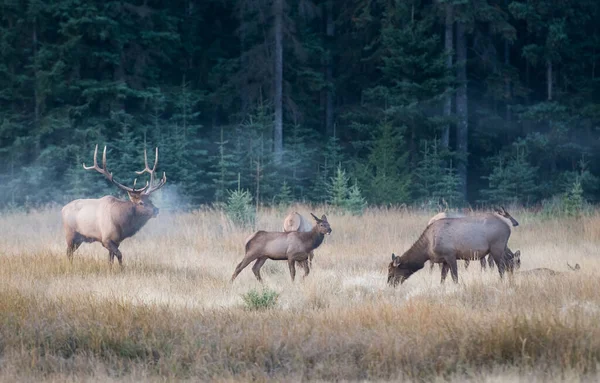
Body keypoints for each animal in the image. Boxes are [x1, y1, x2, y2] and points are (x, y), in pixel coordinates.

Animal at [386, 210, 516, 288]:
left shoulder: (450, 255)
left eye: (391, 272)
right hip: (502, 247)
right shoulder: (444, 260)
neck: (427, 249)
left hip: (497, 247)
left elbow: (454, 276)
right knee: (510, 262)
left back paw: (502, 282)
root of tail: (508, 226)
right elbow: (443, 277)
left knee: (502, 267)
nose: (389, 284)